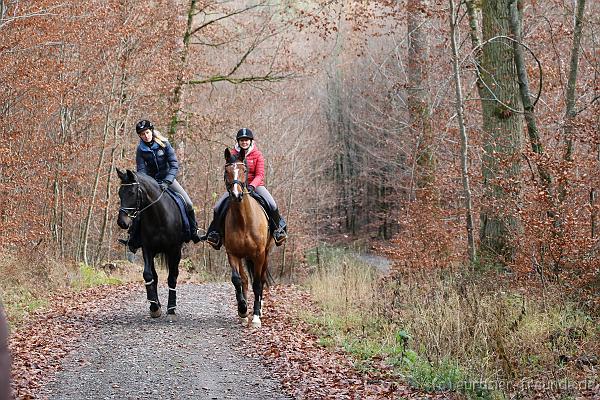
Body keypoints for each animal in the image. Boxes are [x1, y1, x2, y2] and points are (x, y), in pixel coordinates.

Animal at [116, 169, 184, 322]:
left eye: (131, 192)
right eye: (119, 193)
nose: (122, 222)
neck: (158, 216)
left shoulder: (174, 250)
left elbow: (172, 277)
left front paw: (171, 309)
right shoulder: (147, 249)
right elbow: (148, 275)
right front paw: (154, 307)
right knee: (155, 276)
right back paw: (156, 304)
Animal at [224, 148, 274, 328]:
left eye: (244, 170)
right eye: (227, 170)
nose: (236, 194)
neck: (243, 220)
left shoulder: (259, 255)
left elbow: (258, 283)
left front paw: (256, 316)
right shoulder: (233, 254)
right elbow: (237, 280)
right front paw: (243, 309)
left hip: (265, 254)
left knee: (261, 279)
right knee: (245, 280)